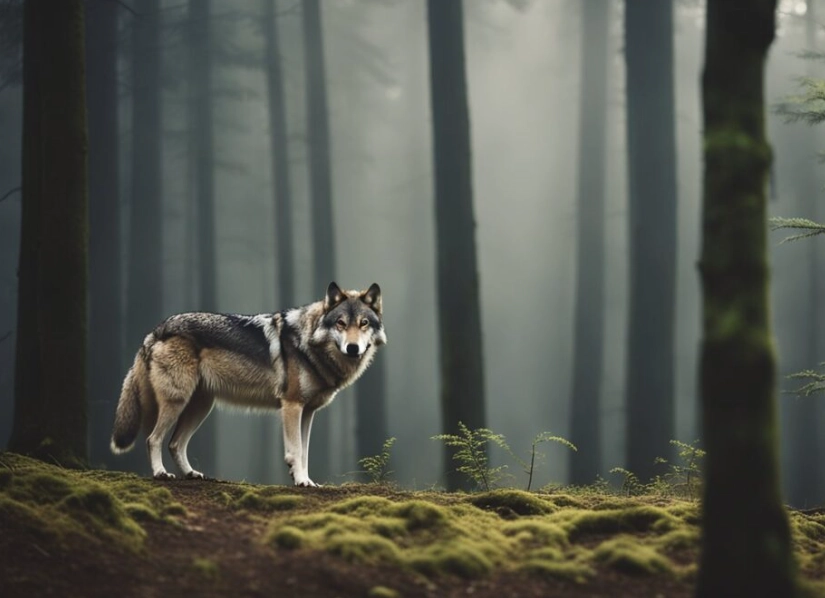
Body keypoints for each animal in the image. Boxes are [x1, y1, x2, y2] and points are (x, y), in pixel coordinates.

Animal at [110, 282, 386, 487]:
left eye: (363, 323)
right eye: (341, 323)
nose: (353, 348)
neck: (308, 342)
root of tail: (156, 330)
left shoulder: (307, 412)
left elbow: (305, 452)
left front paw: (306, 480)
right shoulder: (292, 406)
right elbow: (296, 451)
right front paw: (301, 481)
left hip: (201, 407)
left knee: (175, 444)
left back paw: (191, 474)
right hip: (177, 401)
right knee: (153, 439)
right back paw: (160, 473)